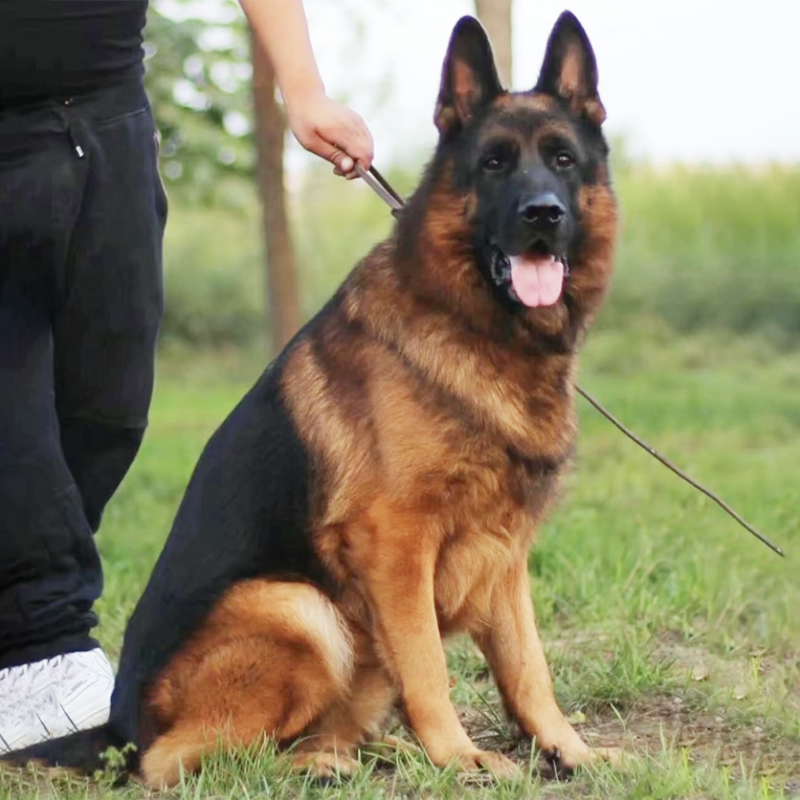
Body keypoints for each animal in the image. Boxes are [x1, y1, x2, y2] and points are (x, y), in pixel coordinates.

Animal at [3, 10, 620, 788]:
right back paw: (331, 765)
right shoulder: (397, 544)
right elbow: (429, 667)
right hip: (301, 606)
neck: (477, 330)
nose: (543, 214)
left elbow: (530, 668)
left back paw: (363, 751)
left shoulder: (503, 554)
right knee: (185, 760)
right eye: (494, 164)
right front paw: (458, 758)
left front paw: (569, 749)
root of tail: (121, 725)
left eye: (563, 160)